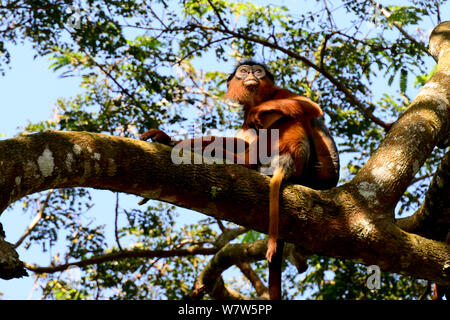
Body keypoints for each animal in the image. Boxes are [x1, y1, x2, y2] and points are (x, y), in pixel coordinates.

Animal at [140, 60, 338, 300]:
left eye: (258, 71)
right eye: (244, 71)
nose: (252, 74)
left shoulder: (280, 94)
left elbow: (310, 107)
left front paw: (258, 111)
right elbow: (241, 138)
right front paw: (169, 140)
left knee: (291, 117)